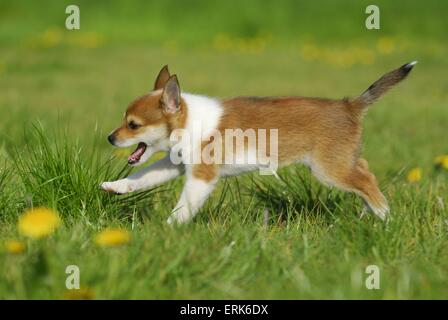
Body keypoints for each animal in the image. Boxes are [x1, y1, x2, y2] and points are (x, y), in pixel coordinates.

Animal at [101, 62, 416, 222]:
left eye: (133, 125)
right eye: (125, 121)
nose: (110, 138)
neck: (189, 121)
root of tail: (350, 105)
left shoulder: (202, 176)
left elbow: (184, 206)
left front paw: (169, 229)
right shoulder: (174, 164)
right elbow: (143, 177)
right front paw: (116, 187)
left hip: (329, 170)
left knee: (367, 180)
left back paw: (383, 215)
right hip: (341, 161)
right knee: (363, 169)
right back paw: (371, 213)